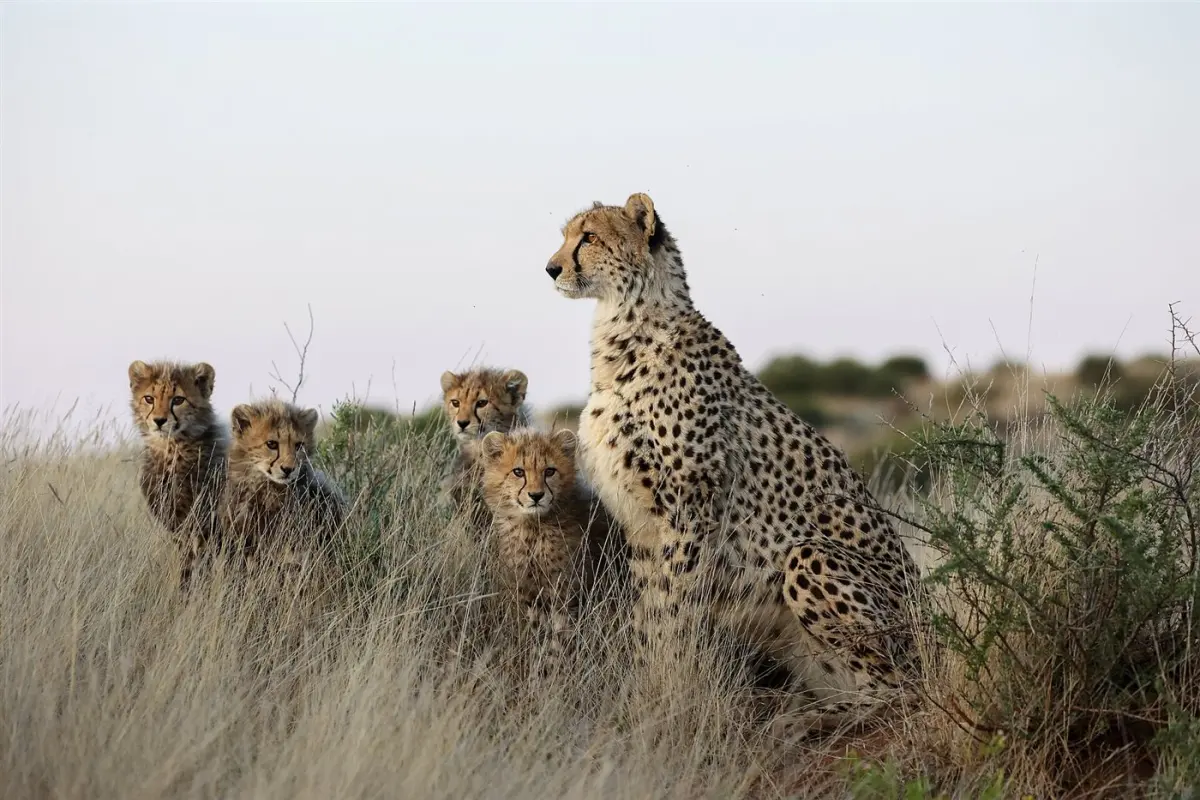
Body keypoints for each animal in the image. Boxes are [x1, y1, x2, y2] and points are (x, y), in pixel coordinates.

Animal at [127, 359, 226, 591]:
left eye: (178, 400)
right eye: (149, 398)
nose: (159, 421)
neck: (171, 448)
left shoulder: (204, 525)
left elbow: (200, 562)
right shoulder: (178, 525)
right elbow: (187, 561)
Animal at [543, 192, 923, 737]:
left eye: (589, 237)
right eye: (567, 236)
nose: (551, 268)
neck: (625, 325)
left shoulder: (691, 510)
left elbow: (675, 609)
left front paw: (671, 692)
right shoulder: (642, 524)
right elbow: (648, 613)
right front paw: (646, 691)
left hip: (811, 558)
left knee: (900, 690)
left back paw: (810, 717)